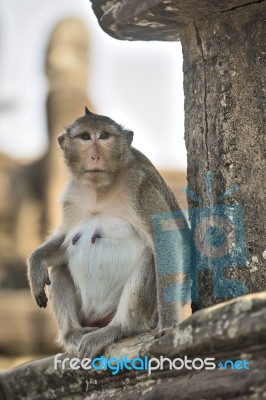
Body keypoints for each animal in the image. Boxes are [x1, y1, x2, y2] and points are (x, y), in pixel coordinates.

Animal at [27, 107, 190, 360]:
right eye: (85, 137)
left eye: (104, 136)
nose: (95, 156)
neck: (99, 189)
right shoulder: (72, 195)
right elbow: (65, 240)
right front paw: (36, 262)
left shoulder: (140, 186)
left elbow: (166, 237)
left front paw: (169, 324)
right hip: (87, 317)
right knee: (59, 268)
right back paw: (73, 333)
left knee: (148, 257)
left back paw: (119, 328)